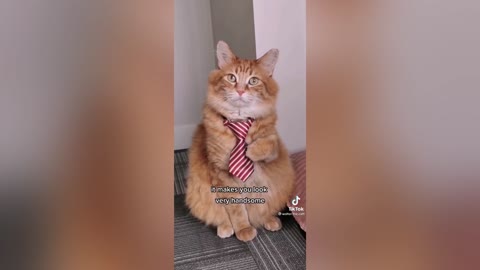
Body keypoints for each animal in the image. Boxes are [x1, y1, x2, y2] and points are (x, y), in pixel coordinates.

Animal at [185, 40, 294, 243]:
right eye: (231, 78)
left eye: (253, 81)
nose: (241, 91)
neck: (240, 121)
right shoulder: (221, 172)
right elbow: (236, 208)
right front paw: (243, 229)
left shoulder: (274, 149)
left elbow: (269, 143)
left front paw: (251, 150)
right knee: (218, 215)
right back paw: (226, 228)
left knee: (263, 210)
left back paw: (270, 220)